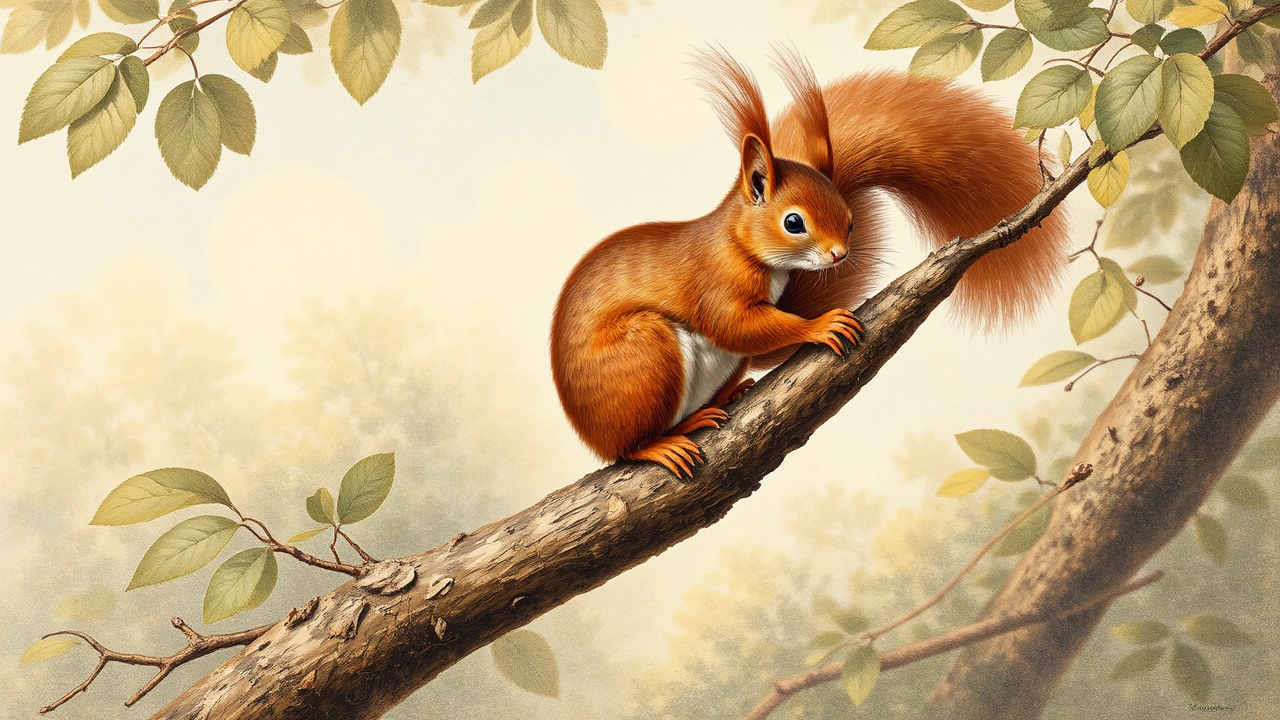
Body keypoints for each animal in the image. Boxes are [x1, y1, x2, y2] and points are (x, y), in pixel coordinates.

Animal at [550, 47, 1069, 478]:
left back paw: (727, 397)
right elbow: (736, 323)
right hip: (644, 359)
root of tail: (591, 435)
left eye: (850, 220)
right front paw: (819, 325)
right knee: (629, 447)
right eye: (794, 222)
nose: (839, 254)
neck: (741, 244)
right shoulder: (714, 283)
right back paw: (665, 442)